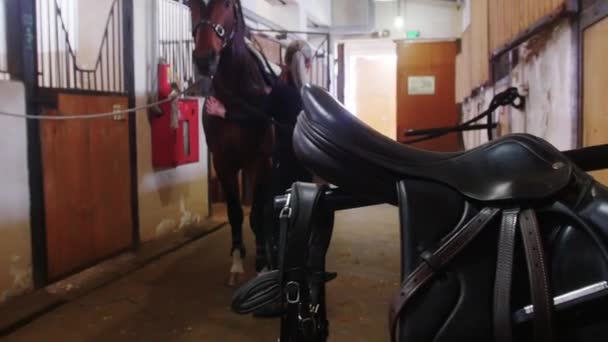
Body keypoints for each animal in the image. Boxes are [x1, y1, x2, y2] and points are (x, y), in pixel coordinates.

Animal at [189, 0, 280, 284]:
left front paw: (263, 264)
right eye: (191, 4)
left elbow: (259, 213)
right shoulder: (223, 164)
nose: (204, 59)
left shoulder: (260, 162)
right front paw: (237, 264)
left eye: (227, 4)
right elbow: (235, 213)